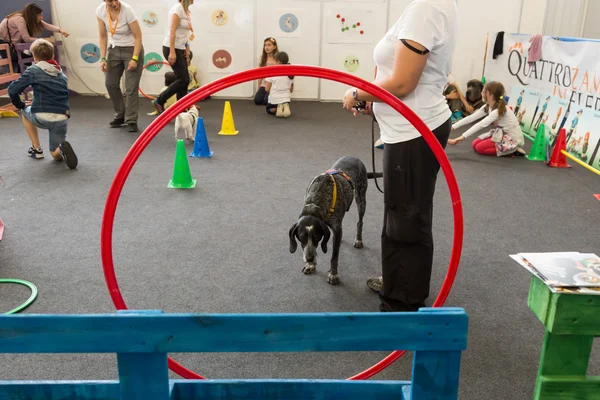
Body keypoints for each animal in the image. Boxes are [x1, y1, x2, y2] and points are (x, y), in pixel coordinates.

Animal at [290, 156, 382, 284]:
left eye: (317, 237)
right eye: (302, 237)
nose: (309, 259)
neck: (316, 201)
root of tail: (355, 158)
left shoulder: (336, 228)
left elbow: (334, 256)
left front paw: (333, 274)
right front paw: (311, 266)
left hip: (361, 198)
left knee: (360, 222)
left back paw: (358, 239)